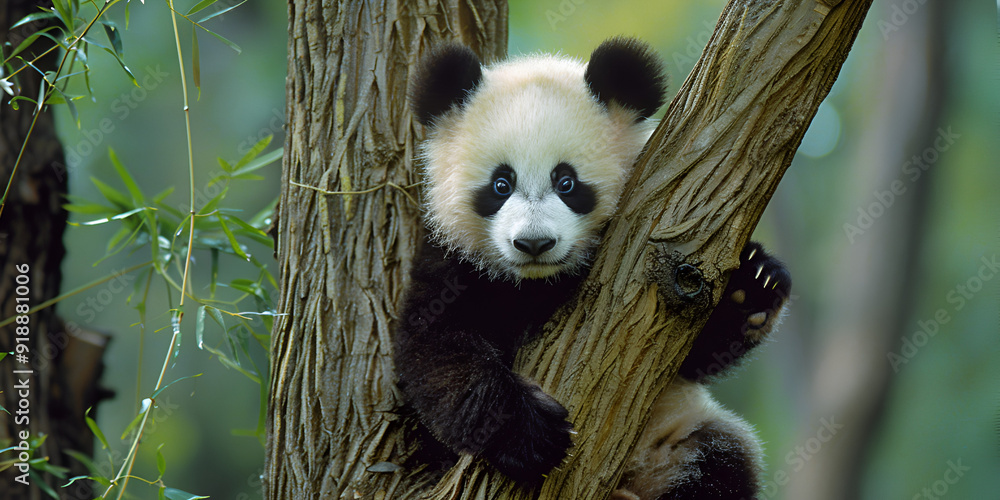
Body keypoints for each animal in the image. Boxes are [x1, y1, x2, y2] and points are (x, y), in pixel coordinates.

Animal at [394, 37, 791, 499]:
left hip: (675, 436)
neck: (538, 282)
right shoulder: (451, 265)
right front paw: (530, 435)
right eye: (501, 184)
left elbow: (696, 353)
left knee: (721, 462)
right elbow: (438, 354)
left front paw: (753, 284)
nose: (534, 243)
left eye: (566, 182)